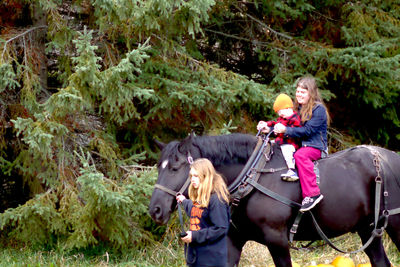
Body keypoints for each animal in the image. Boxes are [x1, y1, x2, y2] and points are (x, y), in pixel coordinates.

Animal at [148, 134, 400, 267]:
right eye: (158, 167)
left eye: (175, 167)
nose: (155, 210)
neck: (252, 179)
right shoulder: (233, 240)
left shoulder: (277, 239)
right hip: (368, 229)